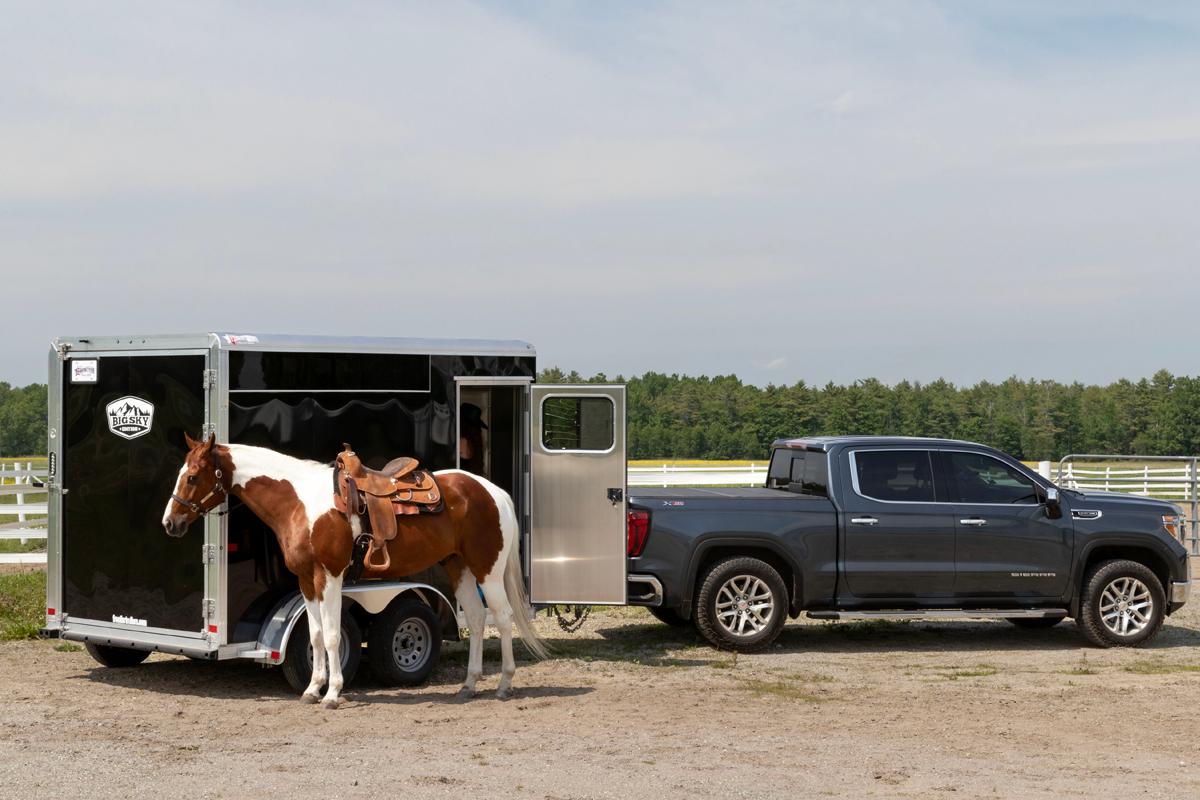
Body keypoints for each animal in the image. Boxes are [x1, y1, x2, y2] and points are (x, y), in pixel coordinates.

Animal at [162, 434, 547, 710]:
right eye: (180, 474)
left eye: (192, 476)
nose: (170, 523)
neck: (300, 502)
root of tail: (492, 490)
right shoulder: (306, 581)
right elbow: (316, 635)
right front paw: (311, 690)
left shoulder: (330, 577)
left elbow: (333, 635)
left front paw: (332, 694)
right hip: (460, 567)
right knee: (479, 619)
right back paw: (468, 686)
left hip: (488, 570)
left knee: (503, 617)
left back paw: (504, 685)